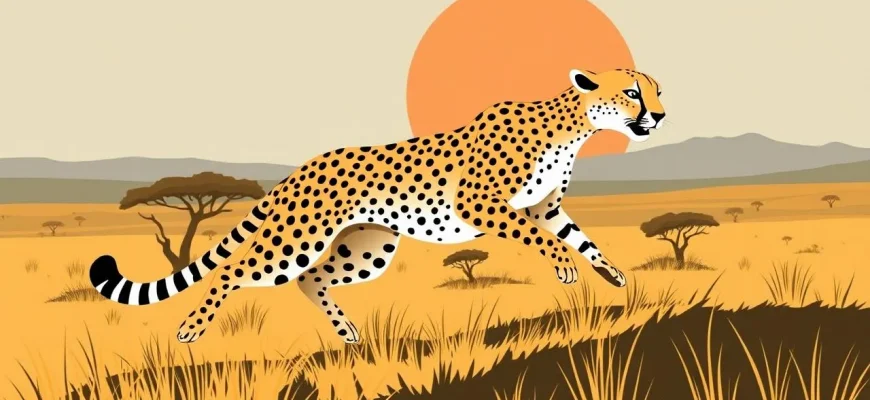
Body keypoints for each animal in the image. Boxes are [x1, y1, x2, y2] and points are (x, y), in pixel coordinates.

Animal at [89, 68, 665, 343]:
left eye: (657, 90)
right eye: (633, 92)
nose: (659, 115)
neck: (573, 127)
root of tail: (301, 167)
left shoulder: (544, 207)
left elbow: (575, 236)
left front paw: (610, 272)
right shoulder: (480, 203)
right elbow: (539, 238)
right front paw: (566, 268)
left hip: (368, 247)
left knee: (310, 281)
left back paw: (349, 334)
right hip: (297, 240)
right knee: (236, 272)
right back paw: (191, 328)